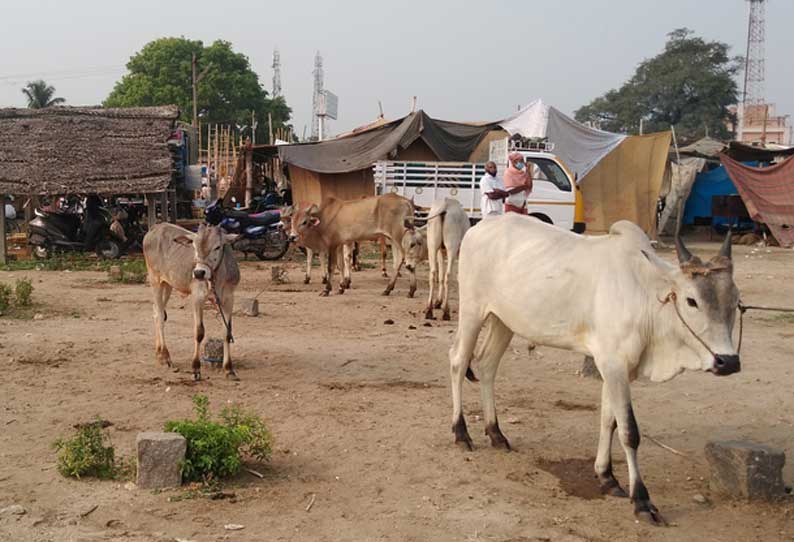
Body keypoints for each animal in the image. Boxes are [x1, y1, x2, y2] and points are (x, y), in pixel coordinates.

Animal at [142, 223, 240, 380]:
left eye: (217, 247)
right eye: (194, 246)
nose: (199, 273)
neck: (216, 278)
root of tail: (155, 227)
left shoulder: (229, 299)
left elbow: (227, 332)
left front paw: (229, 369)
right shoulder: (197, 297)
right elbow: (199, 332)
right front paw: (196, 368)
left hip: (168, 284)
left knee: (157, 312)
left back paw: (159, 354)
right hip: (154, 280)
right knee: (160, 315)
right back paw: (166, 356)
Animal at [448, 216, 740, 528]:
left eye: (735, 300)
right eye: (691, 300)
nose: (728, 361)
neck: (647, 296)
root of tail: (480, 226)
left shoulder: (618, 369)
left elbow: (608, 421)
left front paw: (607, 477)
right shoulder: (613, 365)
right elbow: (629, 432)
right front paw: (642, 500)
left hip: (504, 321)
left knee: (487, 365)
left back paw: (496, 434)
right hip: (472, 311)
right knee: (458, 361)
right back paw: (461, 432)